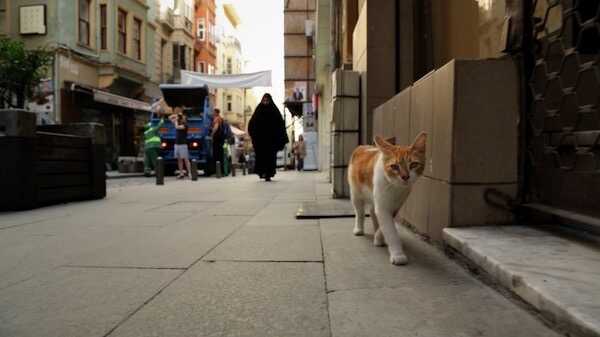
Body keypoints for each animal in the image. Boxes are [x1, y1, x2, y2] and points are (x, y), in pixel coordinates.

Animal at [346, 133, 426, 264]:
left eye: (413, 164)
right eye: (394, 166)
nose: (405, 177)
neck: (394, 187)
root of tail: (364, 146)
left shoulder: (396, 205)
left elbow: (385, 224)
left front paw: (379, 237)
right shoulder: (382, 205)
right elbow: (390, 229)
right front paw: (398, 254)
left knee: (372, 211)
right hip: (355, 193)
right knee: (360, 212)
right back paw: (358, 228)